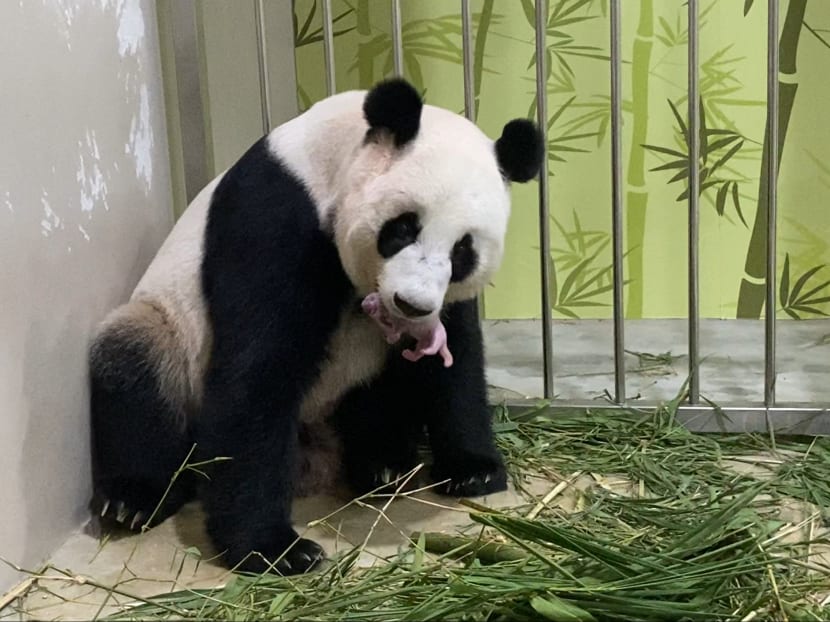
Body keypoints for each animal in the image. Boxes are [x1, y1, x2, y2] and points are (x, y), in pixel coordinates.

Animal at [88, 78, 543, 576]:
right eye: (403, 229)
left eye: (463, 250)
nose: (411, 303)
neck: (329, 159)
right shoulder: (276, 216)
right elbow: (259, 368)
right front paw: (275, 549)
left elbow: (455, 358)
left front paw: (473, 470)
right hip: (169, 334)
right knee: (135, 367)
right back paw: (134, 499)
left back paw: (382, 461)